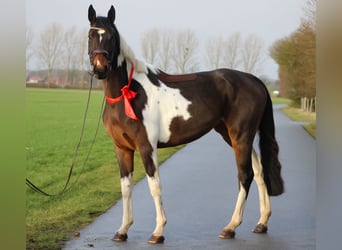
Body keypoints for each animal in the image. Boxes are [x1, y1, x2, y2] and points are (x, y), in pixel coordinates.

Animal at [87, 4, 284, 244]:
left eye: (111, 37)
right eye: (91, 35)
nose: (100, 67)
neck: (128, 92)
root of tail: (254, 80)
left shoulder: (146, 146)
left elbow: (155, 186)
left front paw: (158, 232)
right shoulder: (122, 148)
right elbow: (125, 188)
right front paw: (122, 230)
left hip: (241, 136)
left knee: (244, 176)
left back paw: (230, 227)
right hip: (233, 136)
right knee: (258, 171)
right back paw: (261, 223)